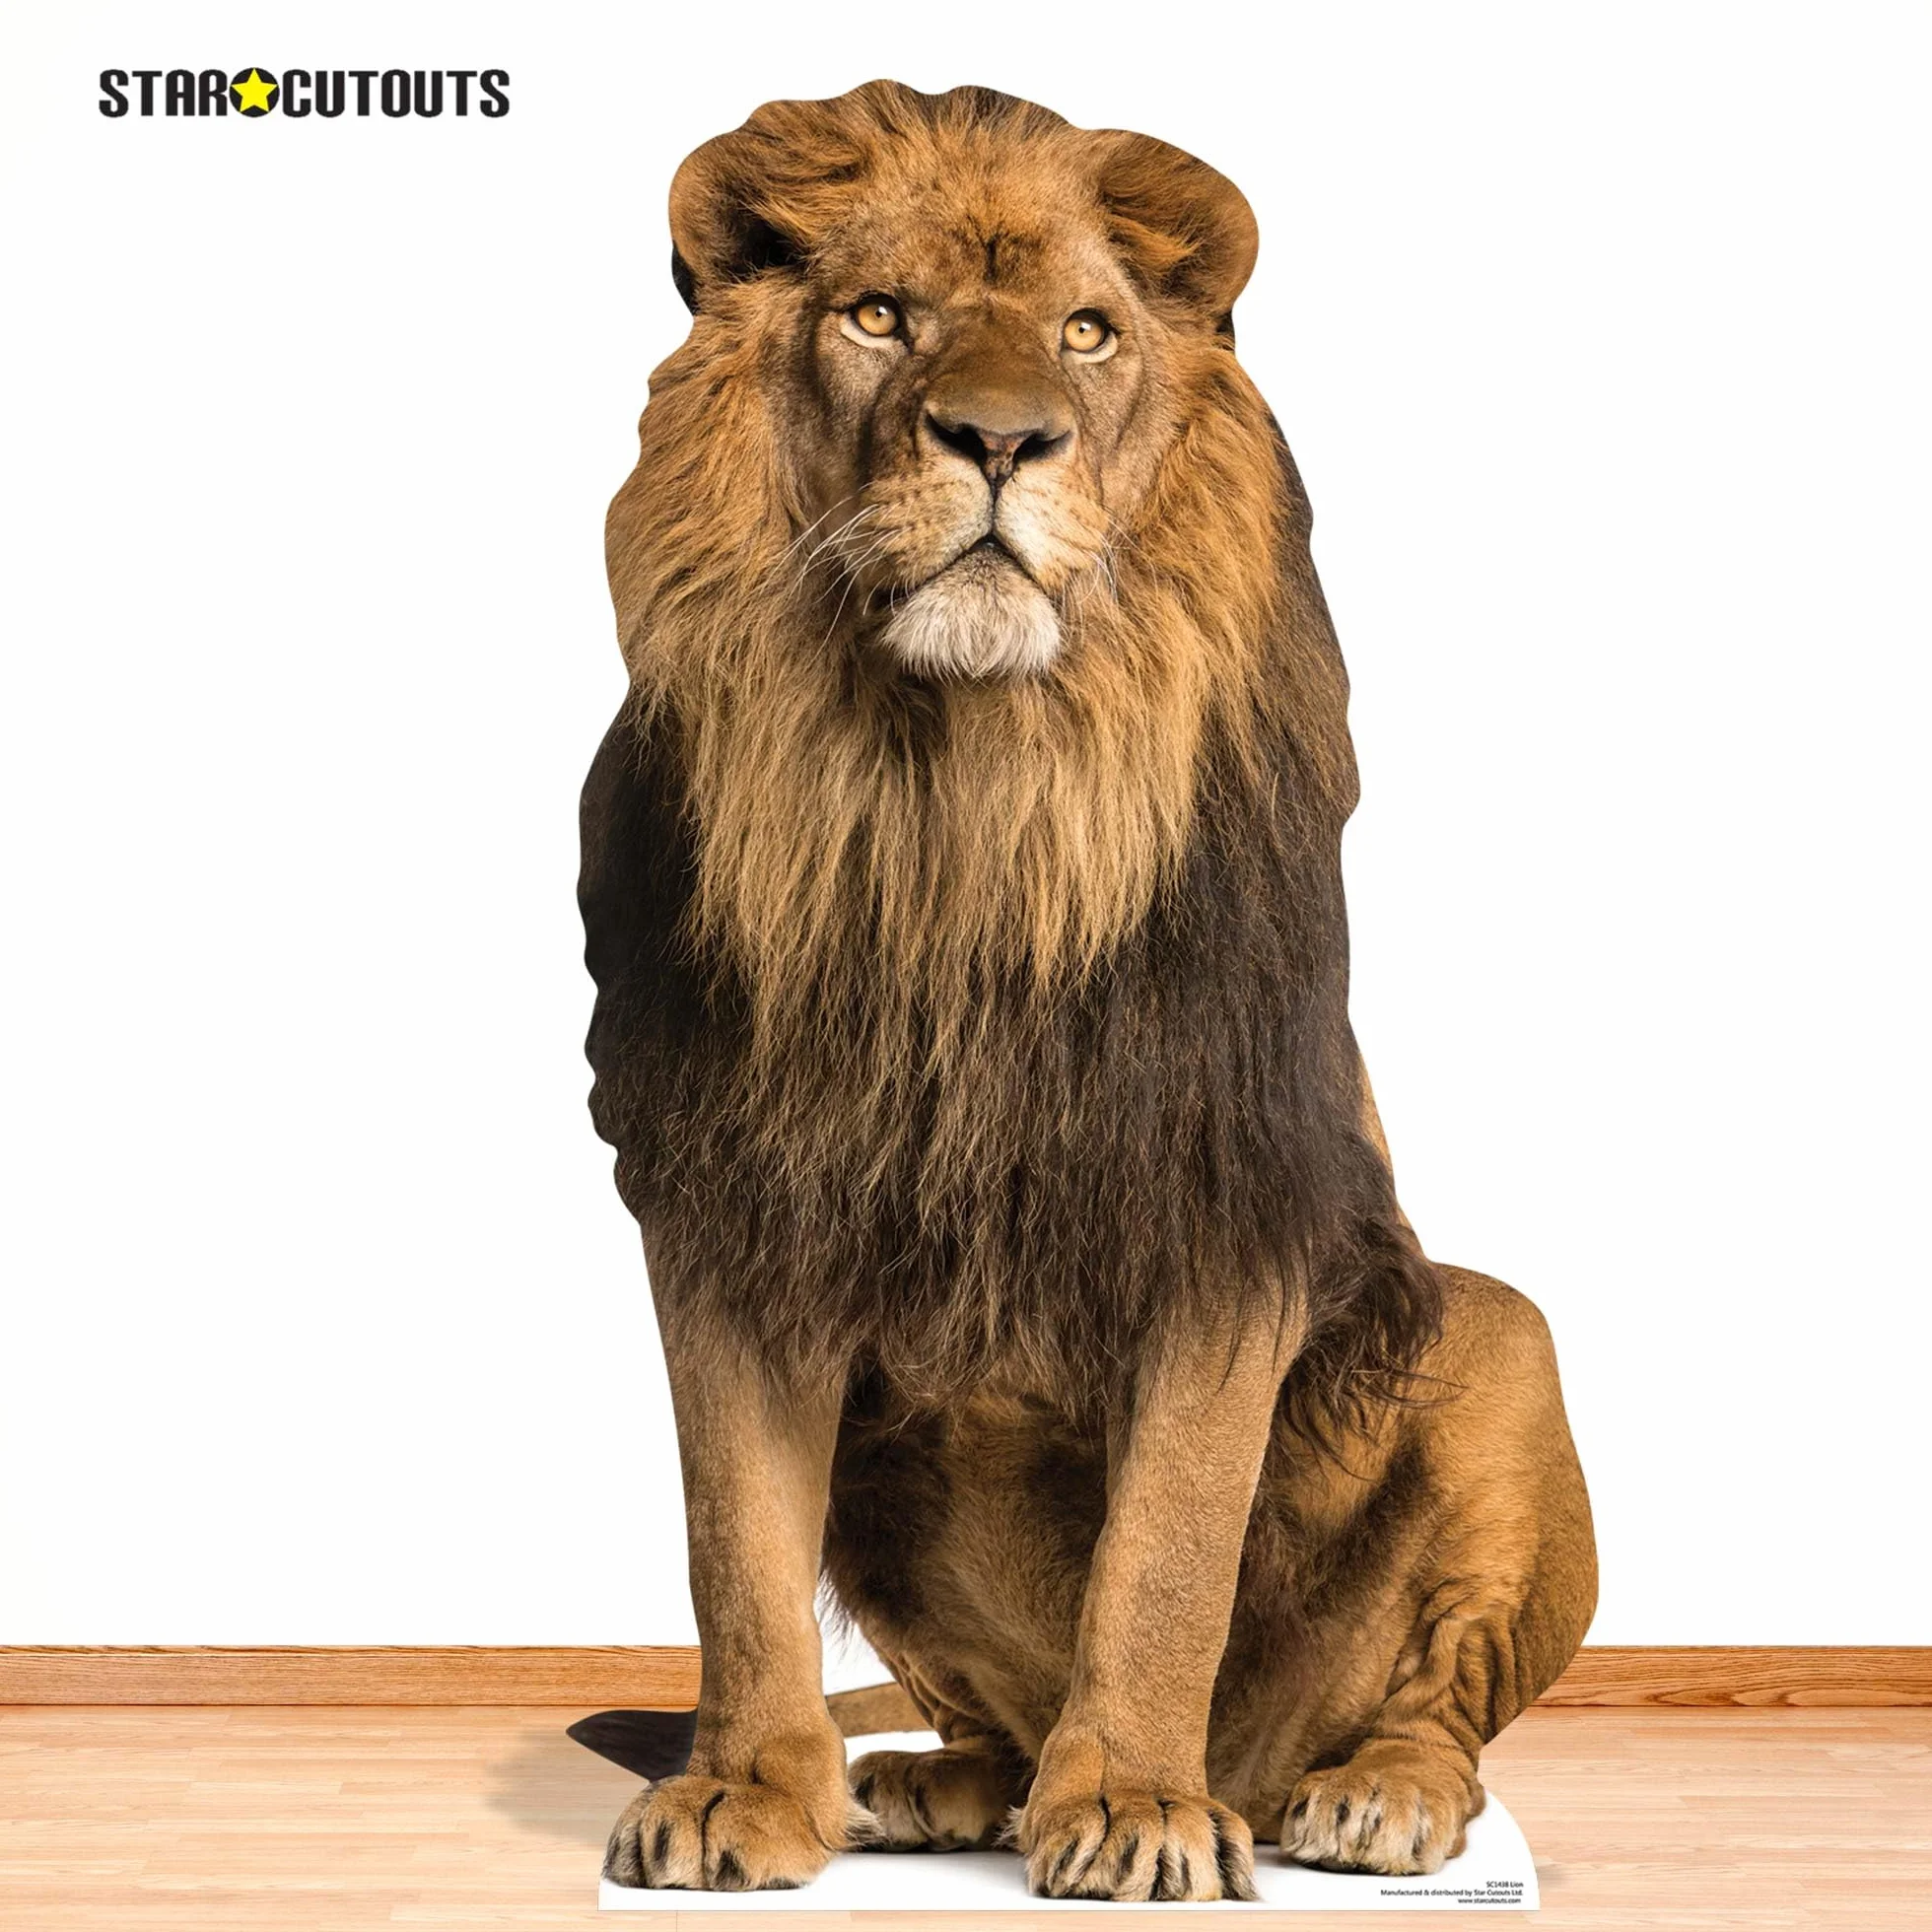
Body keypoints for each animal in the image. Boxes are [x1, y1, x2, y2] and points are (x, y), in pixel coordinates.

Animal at [580, 80, 1596, 1901]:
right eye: (879, 315)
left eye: (1087, 333)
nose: (1000, 442)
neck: (959, 798)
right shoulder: (720, 1198)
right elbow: (733, 1542)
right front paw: (741, 1792)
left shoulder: (1223, 1194)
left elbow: (1171, 1548)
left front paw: (1129, 1805)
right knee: (966, 1699)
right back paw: (938, 1782)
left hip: (1495, 1338)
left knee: (1441, 1704)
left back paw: (1364, 1797)